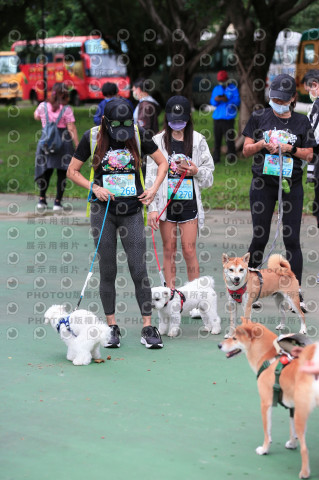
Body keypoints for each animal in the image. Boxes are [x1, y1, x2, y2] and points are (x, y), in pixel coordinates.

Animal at [220, 318, 319, 480]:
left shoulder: (265, 404)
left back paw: (305, 472)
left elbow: (267, 431)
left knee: (305, 450)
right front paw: (292, 444)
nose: (219, 345)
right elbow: (292, 430)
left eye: (234, 338)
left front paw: (264, 449)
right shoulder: (292, 407)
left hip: (301, 416)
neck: (268, 356)